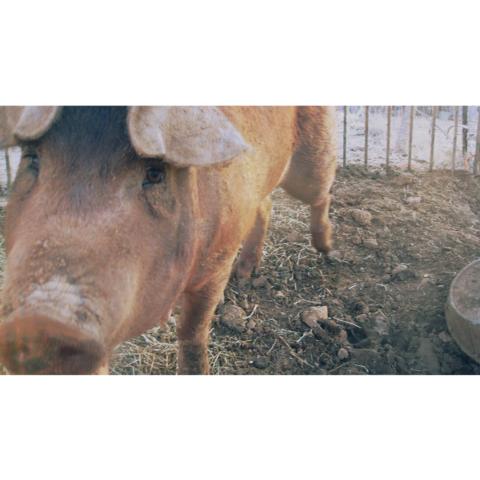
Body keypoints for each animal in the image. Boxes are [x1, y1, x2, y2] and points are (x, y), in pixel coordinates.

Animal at [0, 106, 336, 374]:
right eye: (32, 158)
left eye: (155, 173)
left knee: (321, 192)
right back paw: (244, 274)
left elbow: (193, 329)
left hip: (310, 164)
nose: (40, 322)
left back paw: (327, 250)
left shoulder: (217, 263)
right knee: (266, 206)